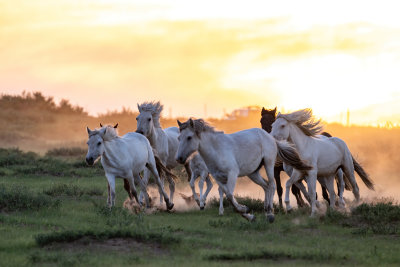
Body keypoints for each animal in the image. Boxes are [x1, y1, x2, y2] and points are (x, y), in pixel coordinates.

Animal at [177, 119, 310, 222]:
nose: (179, 158)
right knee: (266, 186)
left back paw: (271, 214)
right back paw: (266, 210)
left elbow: (229, 195)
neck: (217, 150)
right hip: (253, 173)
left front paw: (244, 210)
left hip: (268, 164)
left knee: (272, 185)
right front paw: (249, 216)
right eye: (179, 138)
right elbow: (226, 195)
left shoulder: (232, 174)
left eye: (189, 137)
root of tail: (270, 137)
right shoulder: (218, 178)